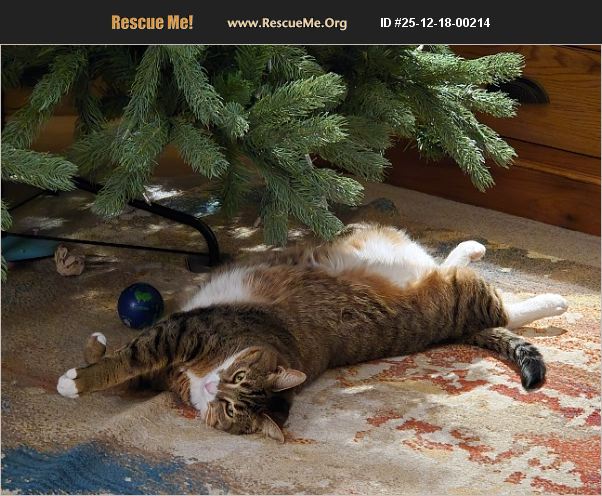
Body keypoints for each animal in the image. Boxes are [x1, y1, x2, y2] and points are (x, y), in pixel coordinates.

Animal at [57, 224, 568, 442]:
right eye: (235, 384)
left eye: (234, 404)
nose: (215, 388)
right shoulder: (174, 354)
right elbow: (132, 368)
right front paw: (93, 350)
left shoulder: (184, 331)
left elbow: (132, 358)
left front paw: (76, 381)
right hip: (426, 269)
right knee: (444, 262)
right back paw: (471, 247)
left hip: (463, 299)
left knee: (503, 310)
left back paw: (554, 300)